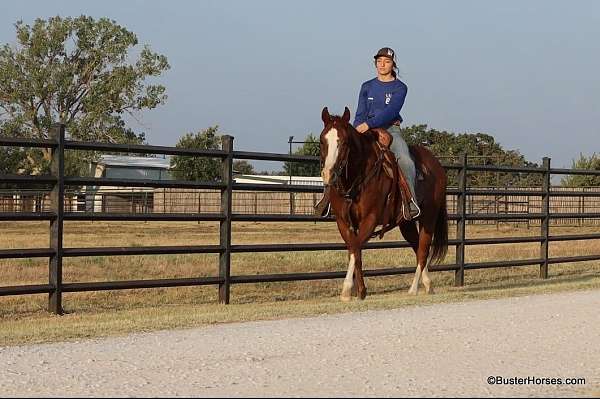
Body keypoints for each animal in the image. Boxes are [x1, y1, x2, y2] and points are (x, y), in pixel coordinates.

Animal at [318, 108, 446, 302]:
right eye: (322, 140)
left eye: (345, 142)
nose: (328, 175)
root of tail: (437, 165)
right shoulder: (344, 222)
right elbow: (354, 251)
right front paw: (360, 290)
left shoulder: (370, 219)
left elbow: (355, 248)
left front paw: (347, 290)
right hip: (406, 223)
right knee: (417, 248)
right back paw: (428, 284)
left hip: (429, 218)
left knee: (423, 251)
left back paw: (413, 289)